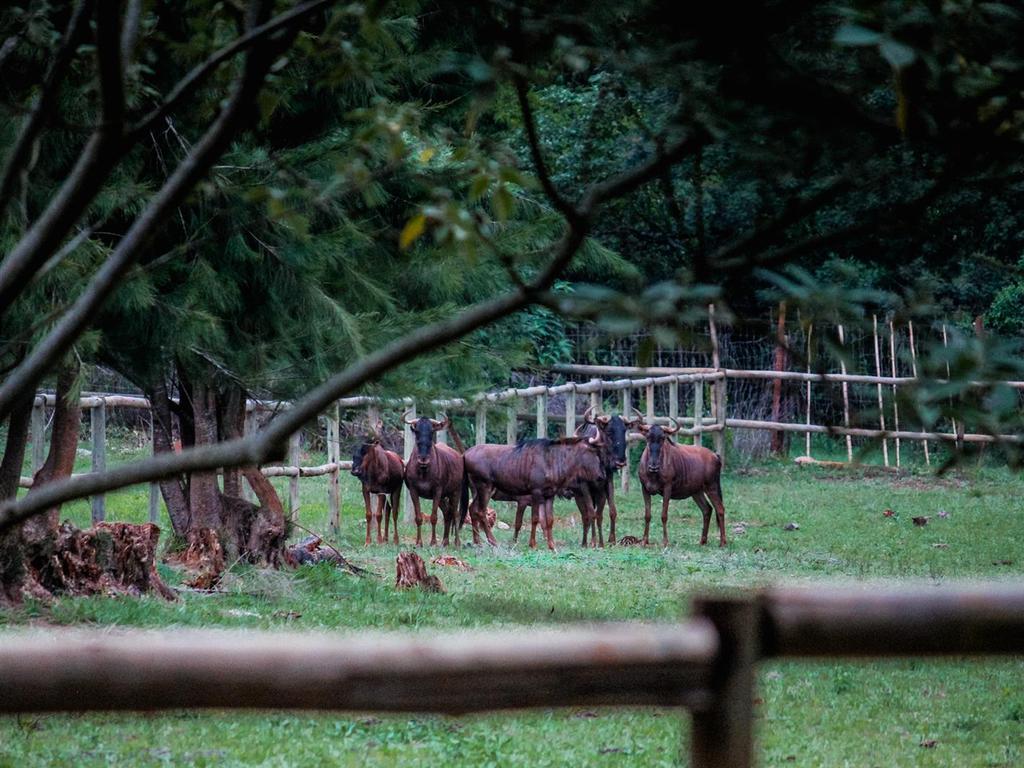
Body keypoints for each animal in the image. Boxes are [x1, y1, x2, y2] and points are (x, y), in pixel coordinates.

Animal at [405, 415, 473, 548]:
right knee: (447, 513)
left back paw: (457, 542)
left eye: (432, 431)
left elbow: (434, 517)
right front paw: (419, 543)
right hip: (443, 497)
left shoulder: (437, 490)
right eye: (417, 431)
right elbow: (418, 518)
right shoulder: (413, 491)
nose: (423, 459)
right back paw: (445, 541)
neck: (423, 471)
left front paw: (433, 542)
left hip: (455, 492)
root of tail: (460, 457)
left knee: (455, 513)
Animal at [630, 415, 729, 548]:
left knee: (720, 509)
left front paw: (665, 542)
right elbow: (647, 515)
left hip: (711, 487)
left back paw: (723, 542)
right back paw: (702, 541)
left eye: (662, 438)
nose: (653, 466)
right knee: (707, 509)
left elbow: (664, 515)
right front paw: (645, 541)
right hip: (697, 492)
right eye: (648, 437)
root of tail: (715, 455)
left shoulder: (667, 488)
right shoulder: (644, 489)